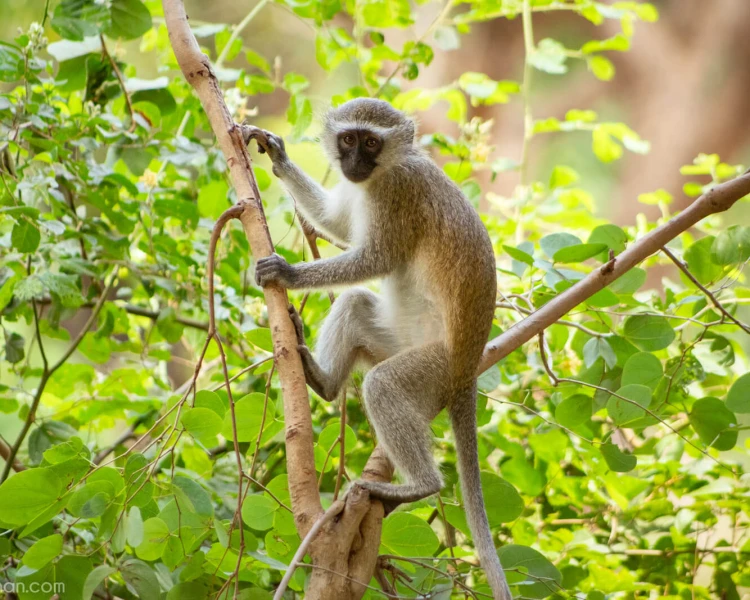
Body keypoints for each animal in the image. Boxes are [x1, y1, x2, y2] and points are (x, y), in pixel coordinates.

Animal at [245, 98, 511, 600]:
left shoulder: (396, 193)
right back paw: (323, 382)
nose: (353, 161)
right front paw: (277, 155)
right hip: (397, 341)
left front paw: (287, 273)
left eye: (371, 142)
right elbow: (340, 225)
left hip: (432, 367)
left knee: (384, 383)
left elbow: (374, 258)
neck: (388, 168)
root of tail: (469, 366)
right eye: (348, 139)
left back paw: (419, 486)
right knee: (353, 303)